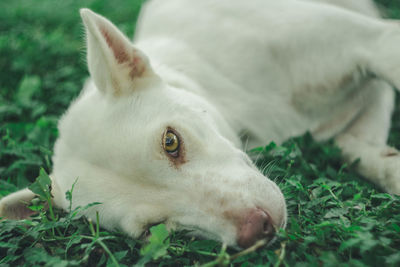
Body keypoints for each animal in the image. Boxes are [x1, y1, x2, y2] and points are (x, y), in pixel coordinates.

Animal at [0, 0, 400, 250]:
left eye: (171, 142)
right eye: (151, 229)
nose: (259, 228)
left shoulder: (377, 42)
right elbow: (352, 149)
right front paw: (389, 167)